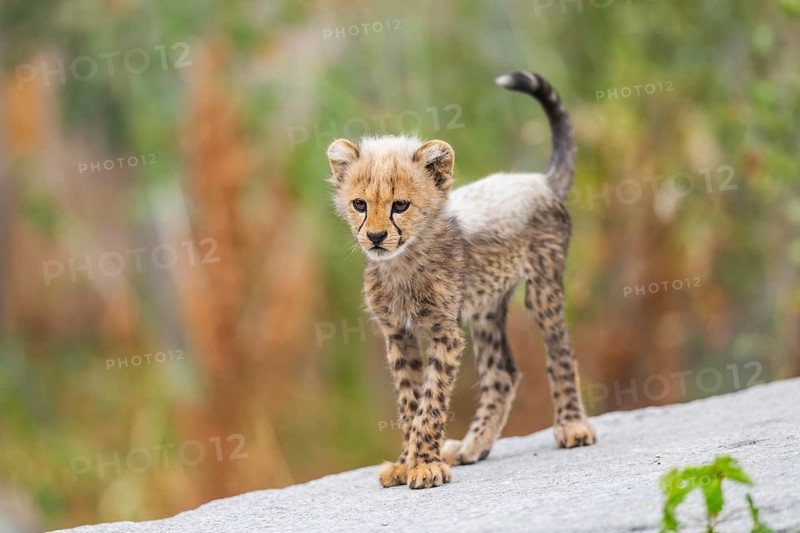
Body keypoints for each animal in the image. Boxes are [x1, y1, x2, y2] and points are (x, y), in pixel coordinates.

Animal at [325, 70, 596, 490]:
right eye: (360, 204)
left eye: (400, 205)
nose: (375, 237)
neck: (403, 262)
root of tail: (537, 179)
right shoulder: (398, 335)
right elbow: (409, 402)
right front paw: (406, 463)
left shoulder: (445, 333)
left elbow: (431, 402)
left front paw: (424, 464)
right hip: (486, 306)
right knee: (502, 374)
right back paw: (473, 447)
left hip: (543, 287)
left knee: (561, 352)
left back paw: (572, 425)